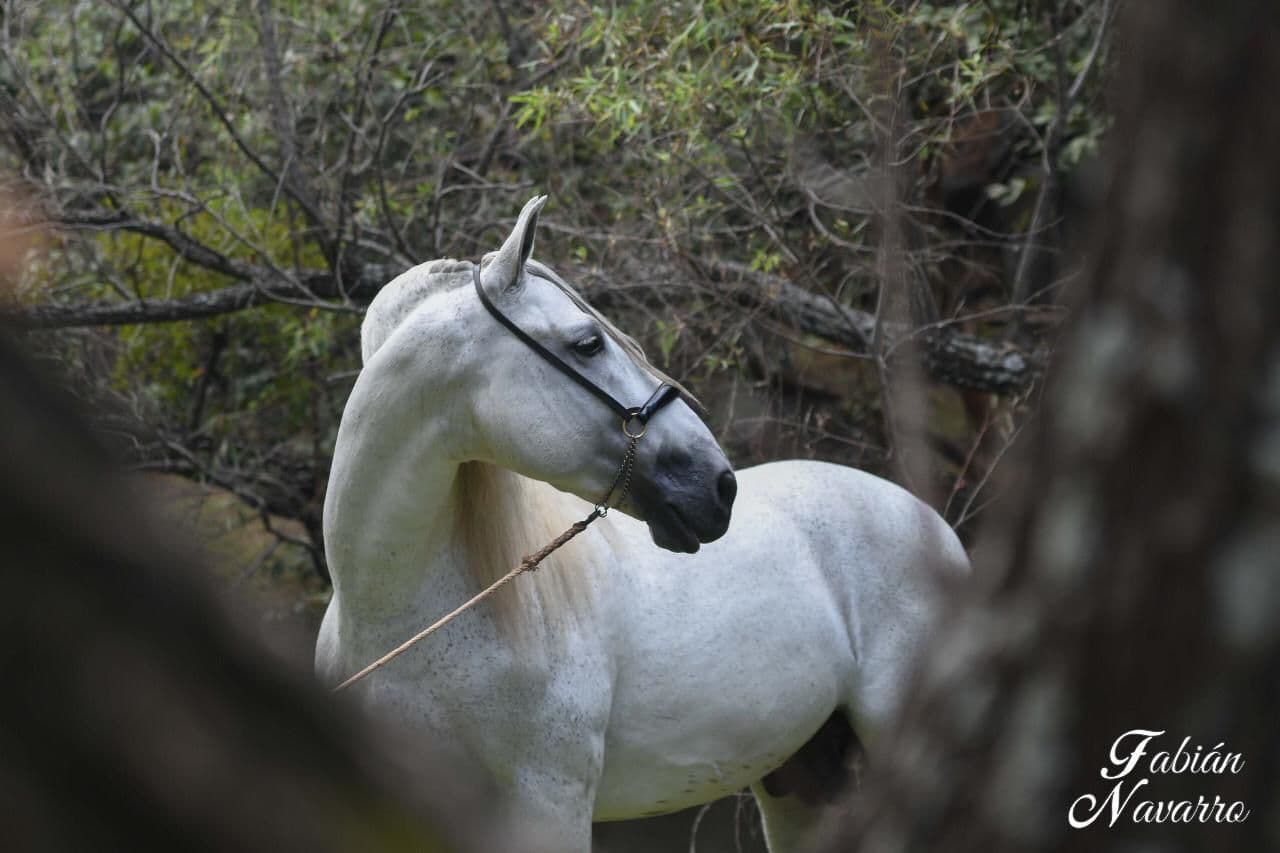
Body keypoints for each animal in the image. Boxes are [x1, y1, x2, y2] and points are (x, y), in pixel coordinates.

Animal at [316, 196, 970, 851]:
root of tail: (933, 526)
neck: (400, 619)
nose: (719, 484)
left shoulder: (547, 805)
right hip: (803, 778)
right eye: (586, 343)